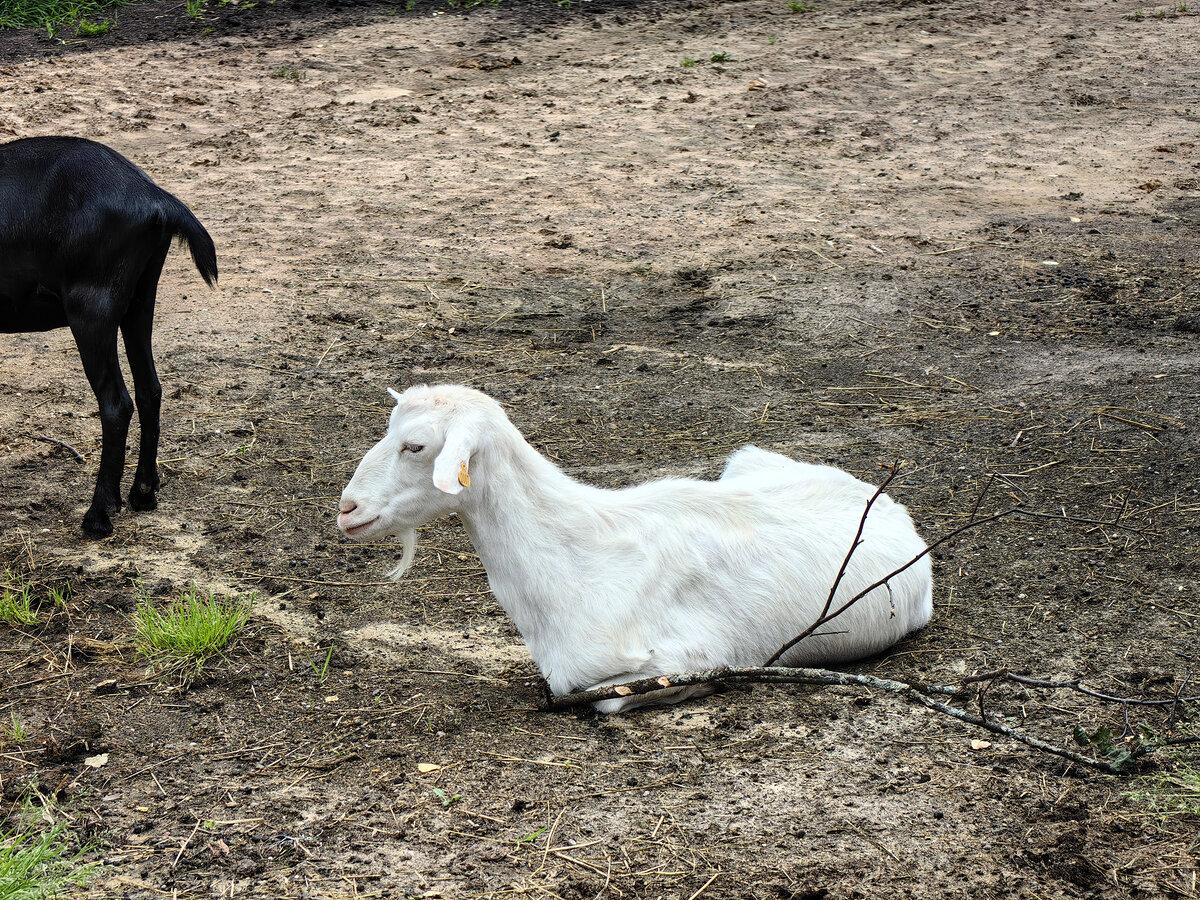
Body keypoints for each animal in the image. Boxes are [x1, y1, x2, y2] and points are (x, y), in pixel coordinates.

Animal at [2, 137, 217, 540]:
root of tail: (156, 197)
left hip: (92, 309)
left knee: (117, 403)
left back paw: (99, 514)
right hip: (139, 300)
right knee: (150, 389)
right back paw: (143, 493)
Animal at [338, 386, 936, 710]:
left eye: (416, 445)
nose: (347, 508)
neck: (573, 552)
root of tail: (885, 502)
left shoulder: (693, 657)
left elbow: (608, 698)